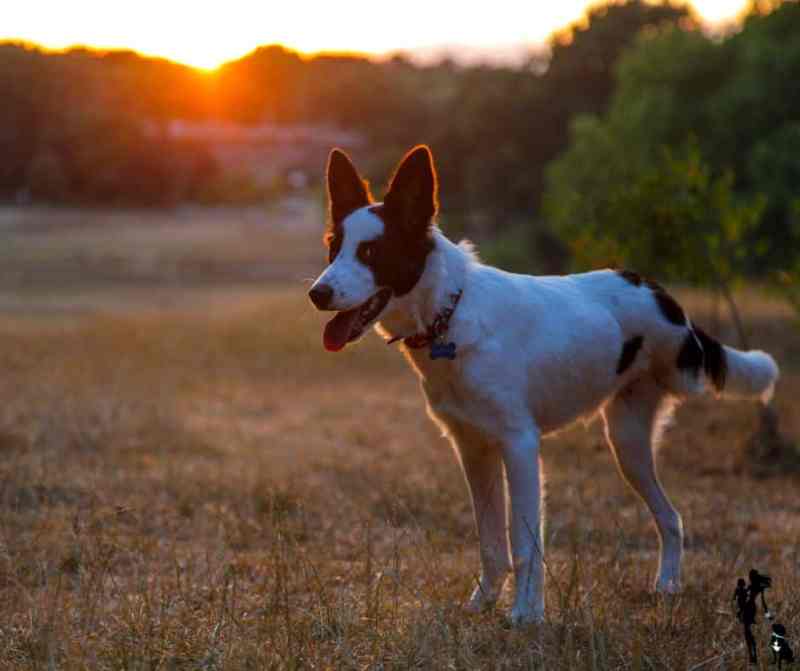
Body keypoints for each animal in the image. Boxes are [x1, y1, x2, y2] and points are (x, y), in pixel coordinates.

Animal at [308, 144, 780, 624]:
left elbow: (523, 543)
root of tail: (661, 294)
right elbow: (491, 543)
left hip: (681, 379)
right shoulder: (473, 448)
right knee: (671, 518)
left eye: (371, 251)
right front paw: (484, 603)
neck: (450, 315)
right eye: (333, 248)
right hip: (628, 443)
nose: (317, 294)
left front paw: (526, 615)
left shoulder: (519, 444)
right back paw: (667, 585)